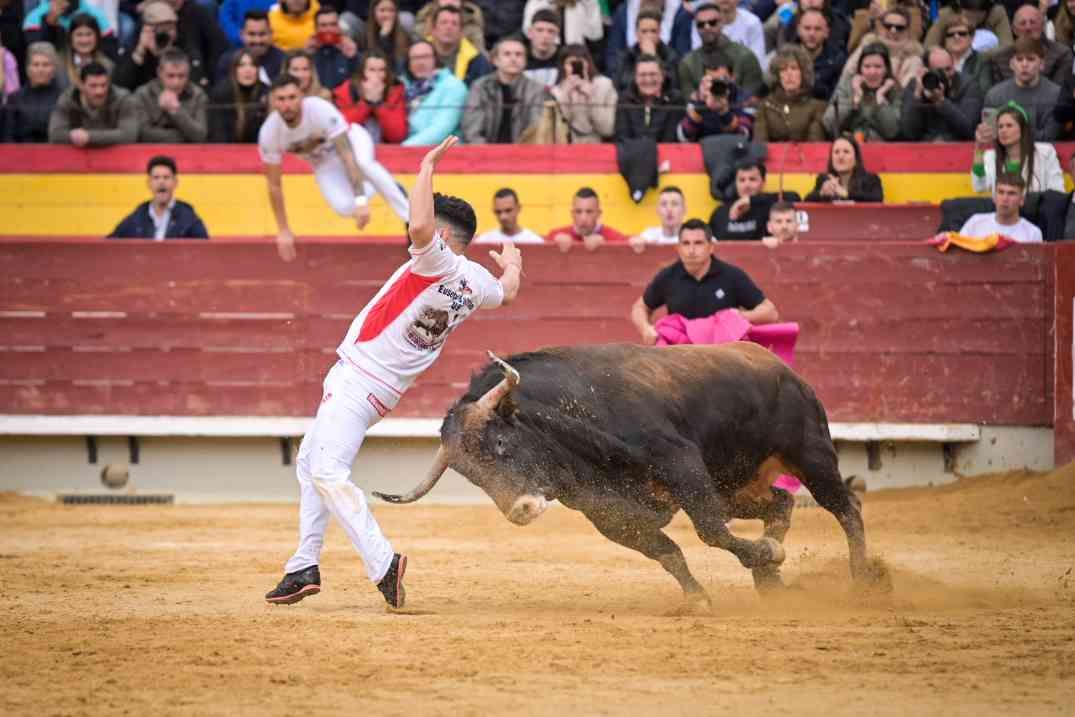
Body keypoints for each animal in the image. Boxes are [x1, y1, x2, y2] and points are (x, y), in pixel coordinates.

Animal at [374, 343, 868, 606]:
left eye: (499, 444)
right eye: (471, 477)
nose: (521, 510)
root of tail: (778, 364)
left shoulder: (681, 463)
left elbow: (709, 532)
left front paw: (766, 555)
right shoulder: (612, 515)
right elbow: (668, 553)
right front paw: (699, 598)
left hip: (810, 454)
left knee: (846, 507)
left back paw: (865, 579)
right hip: (734, 484)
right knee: (780, 502)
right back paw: (770, 583)